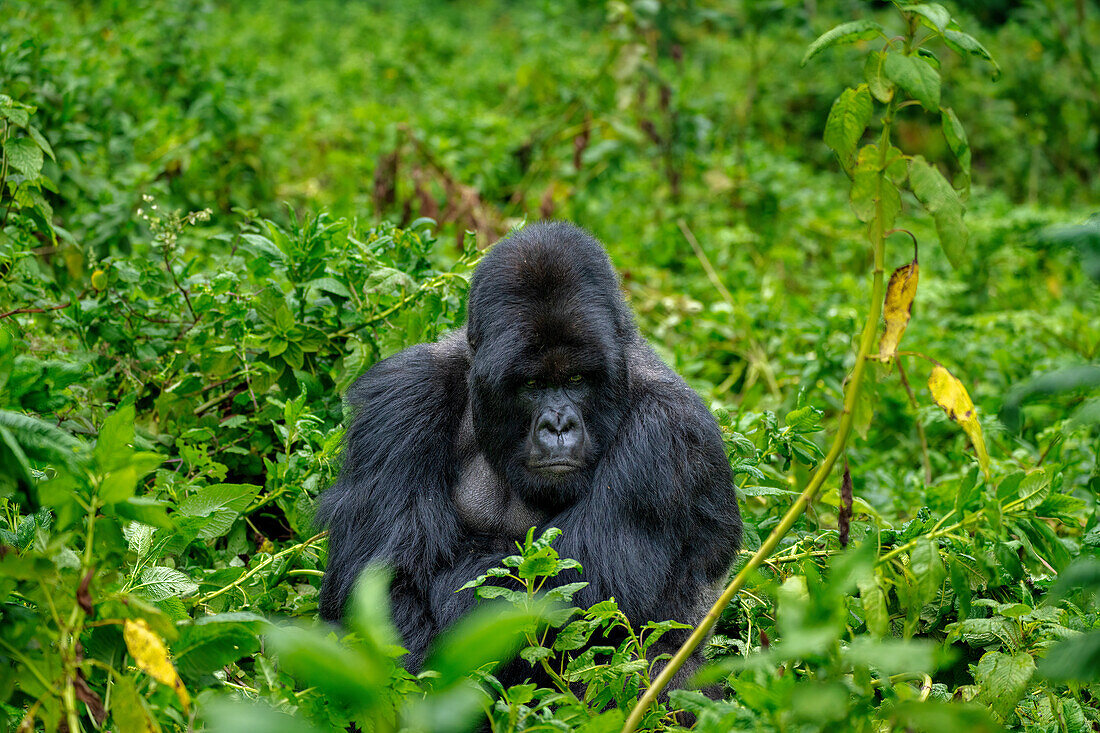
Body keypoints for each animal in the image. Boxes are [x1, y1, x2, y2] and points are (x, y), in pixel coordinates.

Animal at [319, 220, 748, 669]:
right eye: (532, 384)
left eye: (576, 380)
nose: (558, 425)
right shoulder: (403, 395)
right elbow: (382, 583)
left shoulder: (669, 431)